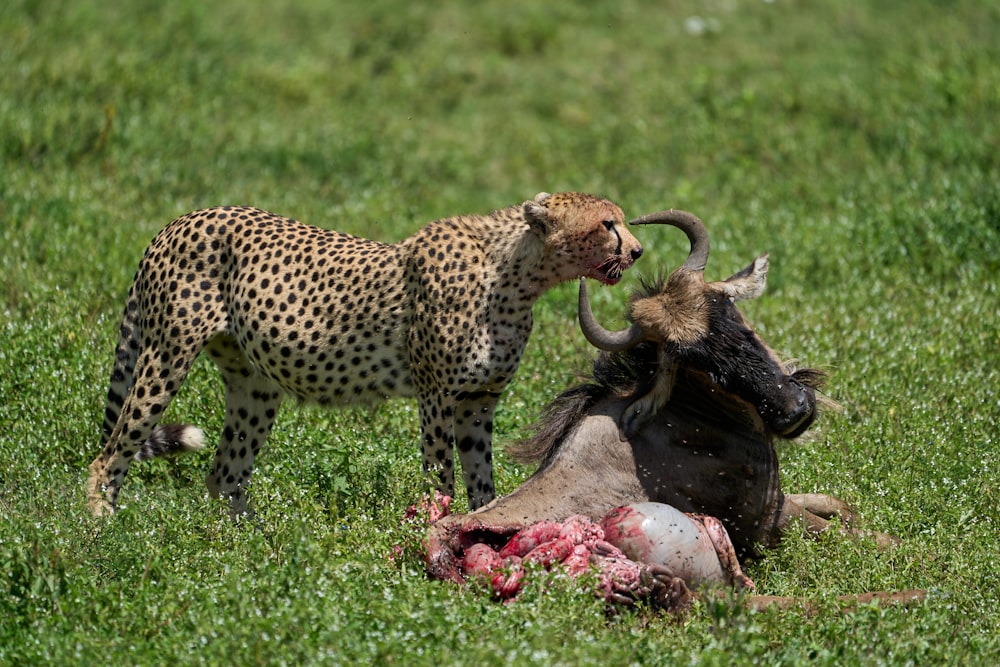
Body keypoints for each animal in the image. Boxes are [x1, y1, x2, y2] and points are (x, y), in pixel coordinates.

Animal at [90, 192, 644, 516]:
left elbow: (480, 477)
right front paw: (438, 524)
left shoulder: (478, 400)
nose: (637, 250)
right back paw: (104, 532)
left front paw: (477, 526)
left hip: (255, 384)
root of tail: (182, 219)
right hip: (166, 355)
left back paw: (246, 547)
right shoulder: (436, 395)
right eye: (607, 224)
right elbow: (441, 471)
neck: (518, 274)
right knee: (109, 455)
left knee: (224, 473)